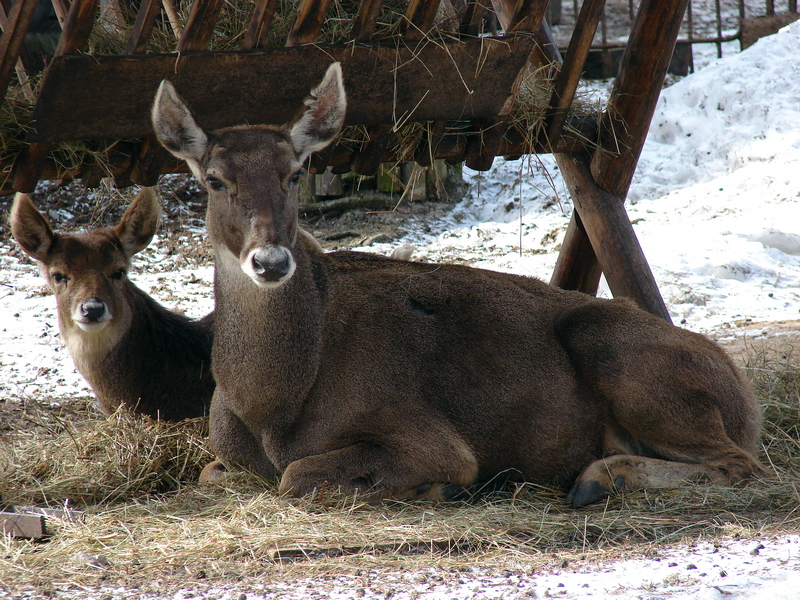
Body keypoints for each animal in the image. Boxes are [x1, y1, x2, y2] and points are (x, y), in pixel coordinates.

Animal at [151, 62, 771, 506]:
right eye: (214, 179)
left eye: (296, 173)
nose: (271, 261)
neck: (270, 405)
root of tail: (744, 398)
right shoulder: (224, 455)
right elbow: (210, 474)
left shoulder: (428, 436)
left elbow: (297, 476)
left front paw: (439, 487)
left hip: (621, 353)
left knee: (744, 465)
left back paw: (596, 479)